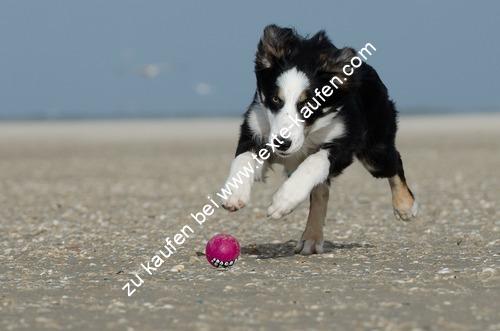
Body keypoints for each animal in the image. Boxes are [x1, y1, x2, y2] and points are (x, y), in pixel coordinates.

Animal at [221, 24, 416, 255]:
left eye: (309, 104)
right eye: (276, 99)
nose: (282, 143)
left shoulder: (344, 141)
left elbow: (314, 163)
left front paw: (283, 201)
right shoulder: (255, 127)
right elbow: (242, 159)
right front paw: (233, 194)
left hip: (375, 151)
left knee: (394, 162)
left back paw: (405, 207)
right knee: (321, 191)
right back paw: (311, 238)